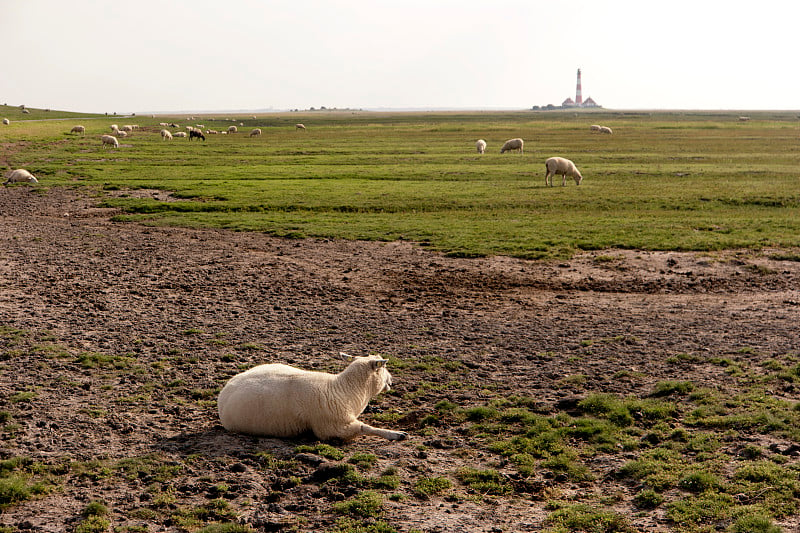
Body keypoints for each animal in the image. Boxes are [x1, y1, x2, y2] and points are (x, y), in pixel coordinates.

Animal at [217, 354, 410, 440]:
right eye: (384, 369)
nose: (392, 381)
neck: (344, 389)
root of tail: (225, 388)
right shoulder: (332, 428)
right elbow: (365, 427)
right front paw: (395, 434)